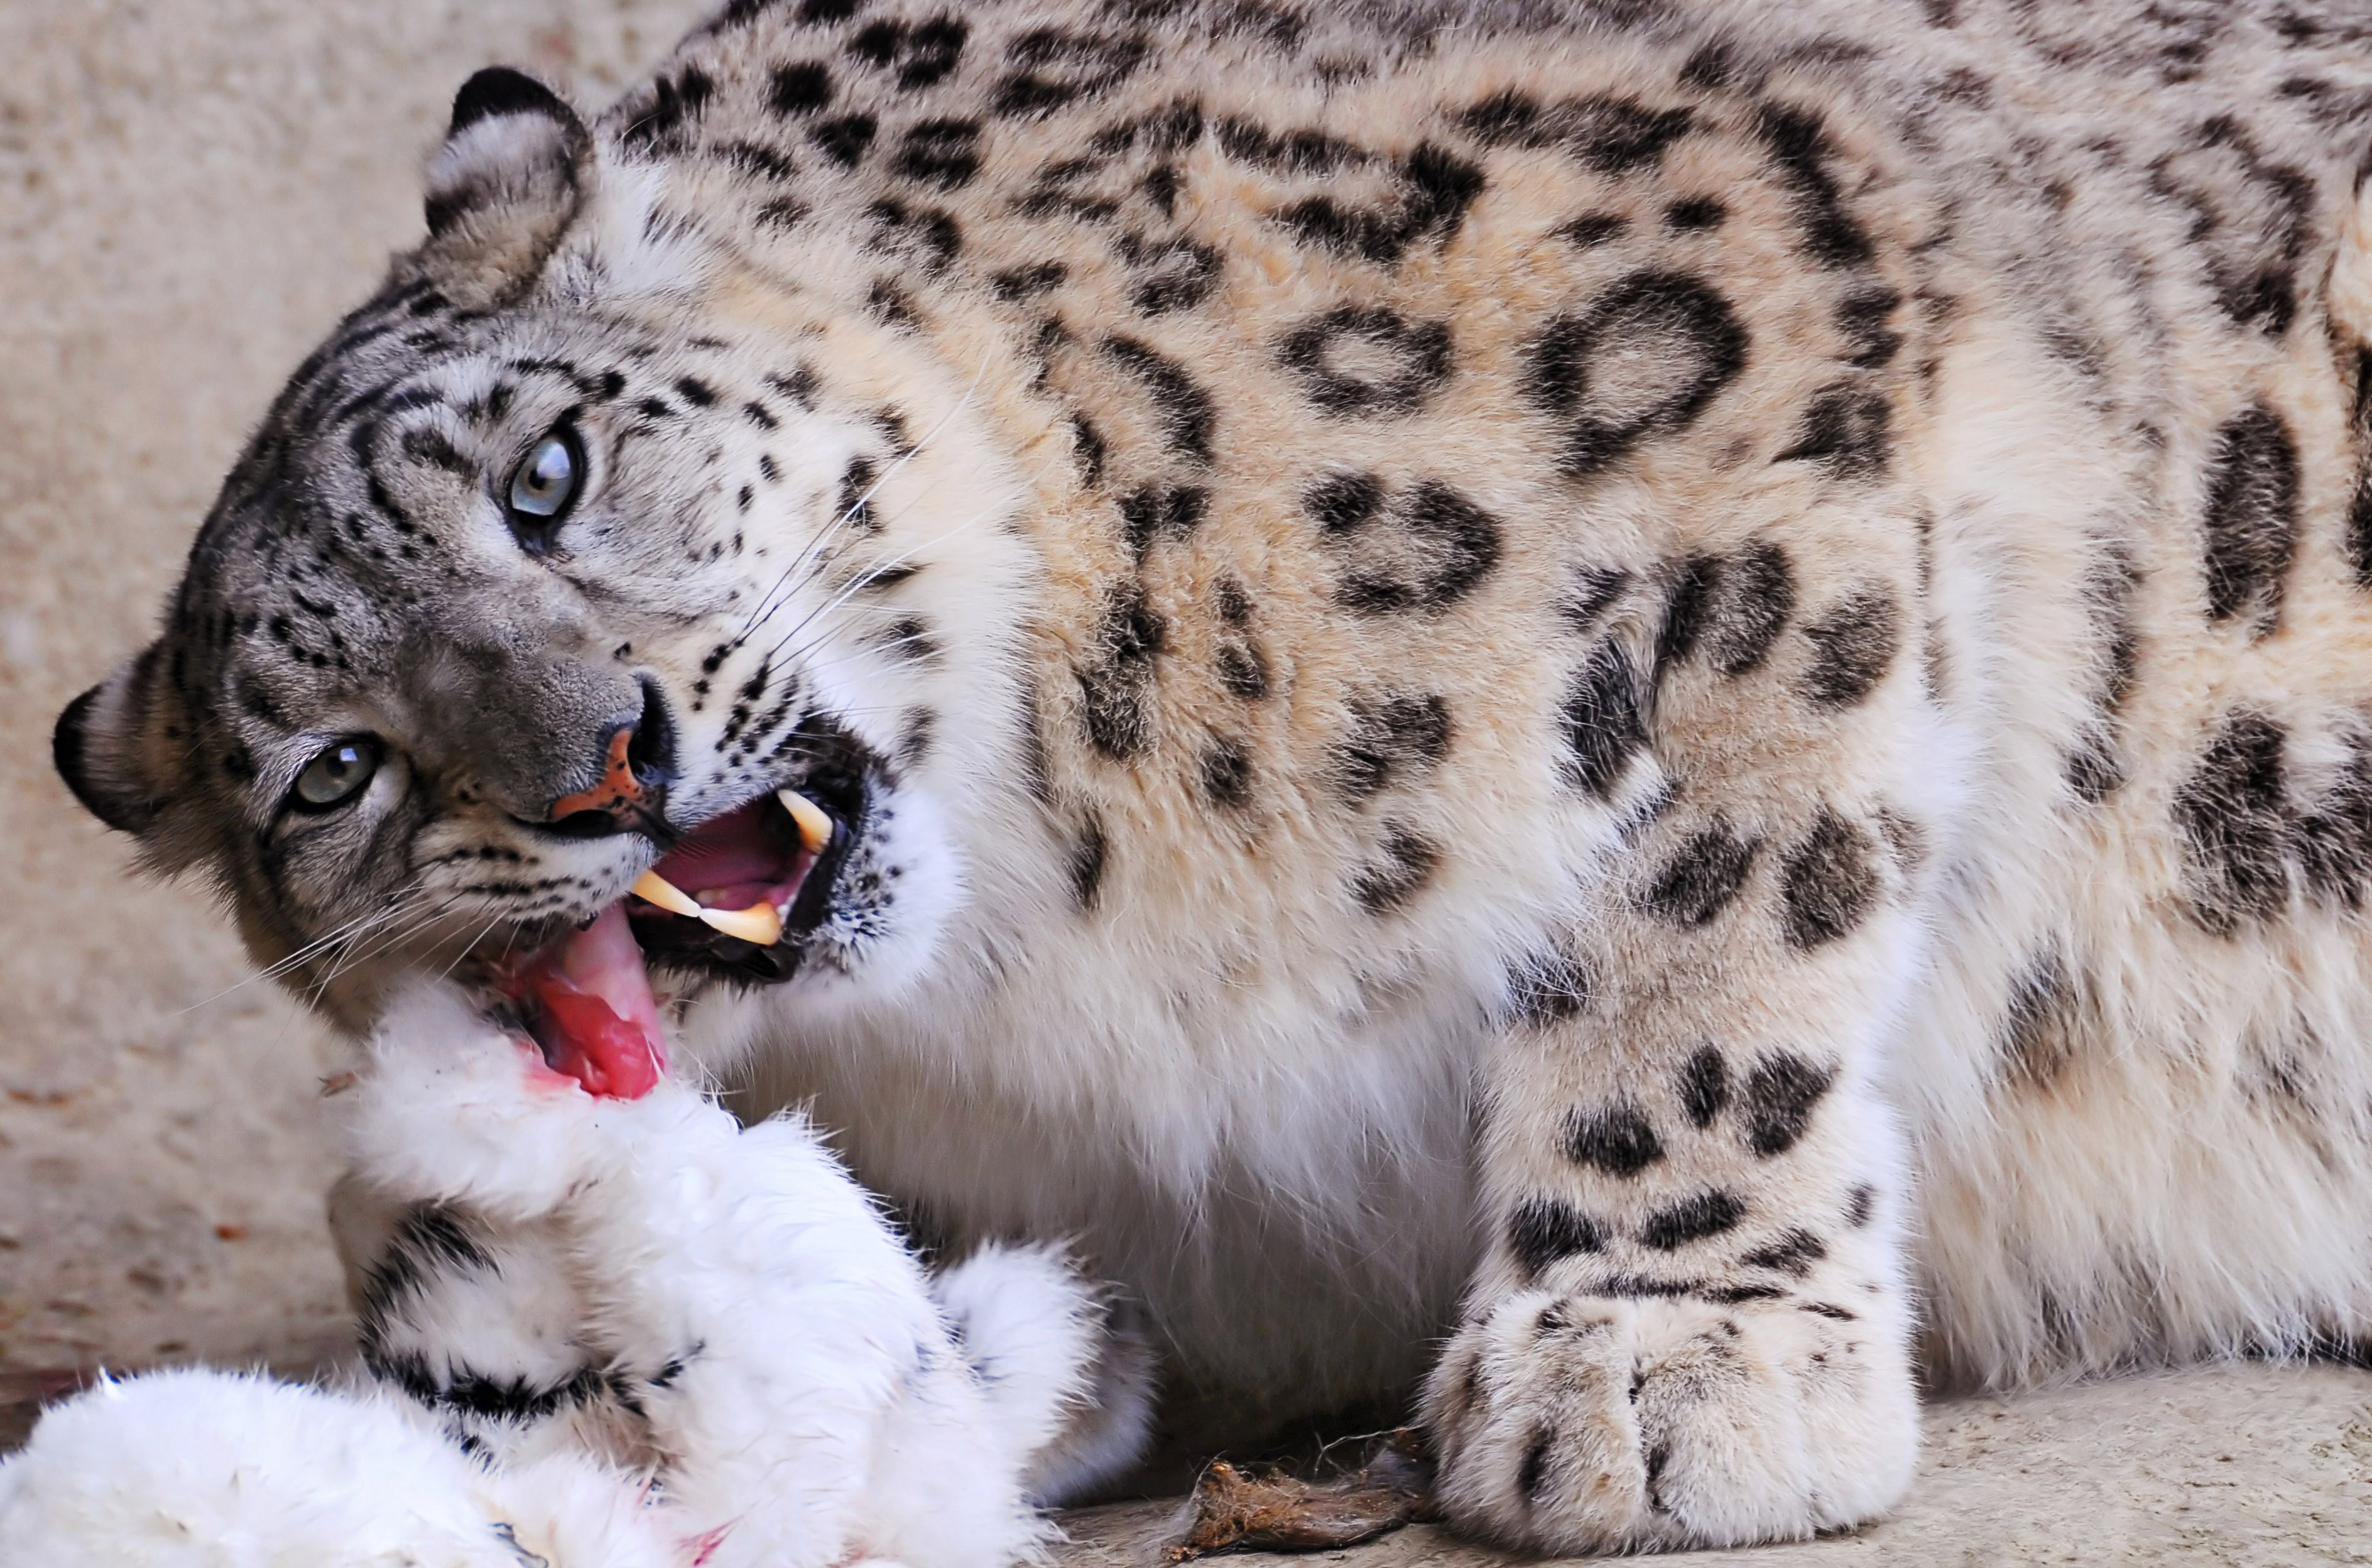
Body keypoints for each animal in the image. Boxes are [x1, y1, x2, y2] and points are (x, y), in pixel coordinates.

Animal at [48, 0, 2372, 1551]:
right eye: (337, 770)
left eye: (543, 471)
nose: (597, 758)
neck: (1044, 957)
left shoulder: (1743, 373)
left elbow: (1710, 916)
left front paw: (1658, 1356)